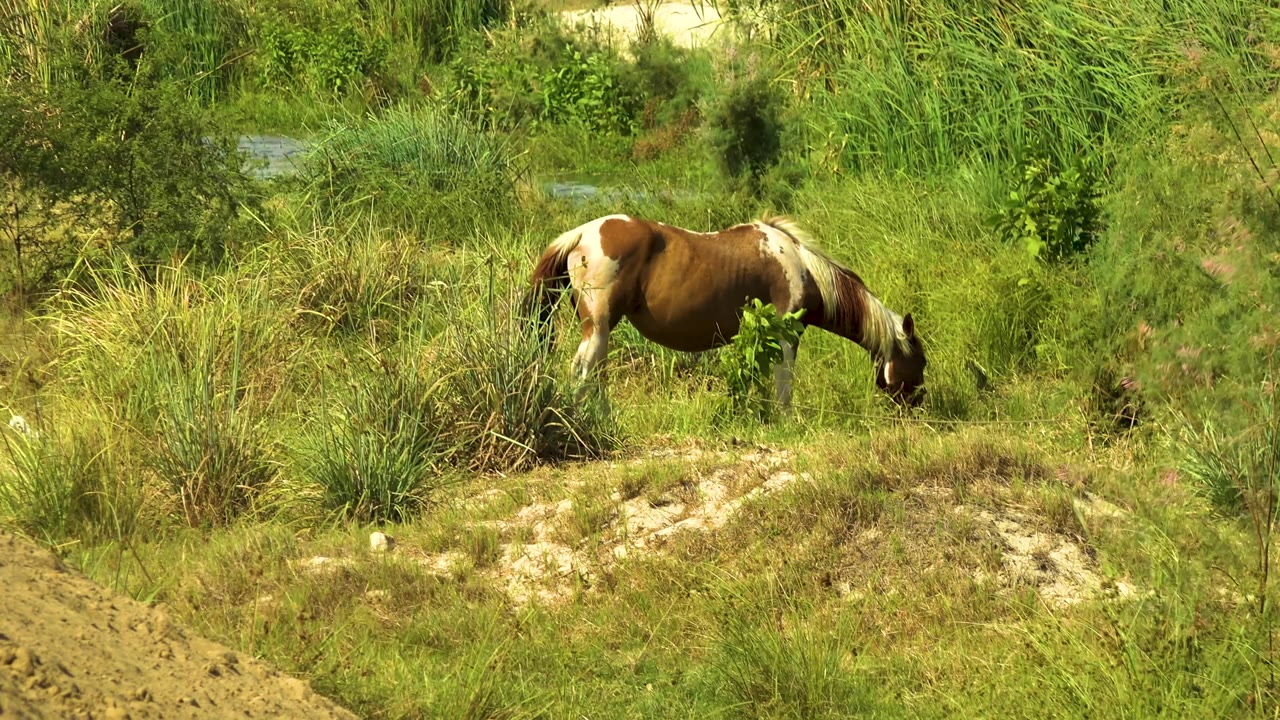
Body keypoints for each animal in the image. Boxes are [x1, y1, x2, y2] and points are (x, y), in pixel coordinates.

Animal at [522, 214, 927, 408]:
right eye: (920, 362)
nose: (918, 404)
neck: (802, 266)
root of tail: (583, 232)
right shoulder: (786, 335)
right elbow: (783, 385)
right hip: (599, 327)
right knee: (583, 370)